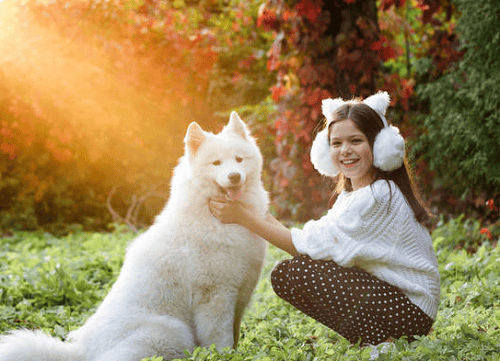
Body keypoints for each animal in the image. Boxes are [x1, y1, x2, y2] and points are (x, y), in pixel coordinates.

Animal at [0, 112, 270, 360]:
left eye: (239, 159)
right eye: (216, 163)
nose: (234, 176)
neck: (213, 215)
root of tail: (82, 351)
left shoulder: (240, 294)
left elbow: (234, 333)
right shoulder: (215, 296)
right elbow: (220, 338)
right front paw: (228, 356)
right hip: (173, 331)